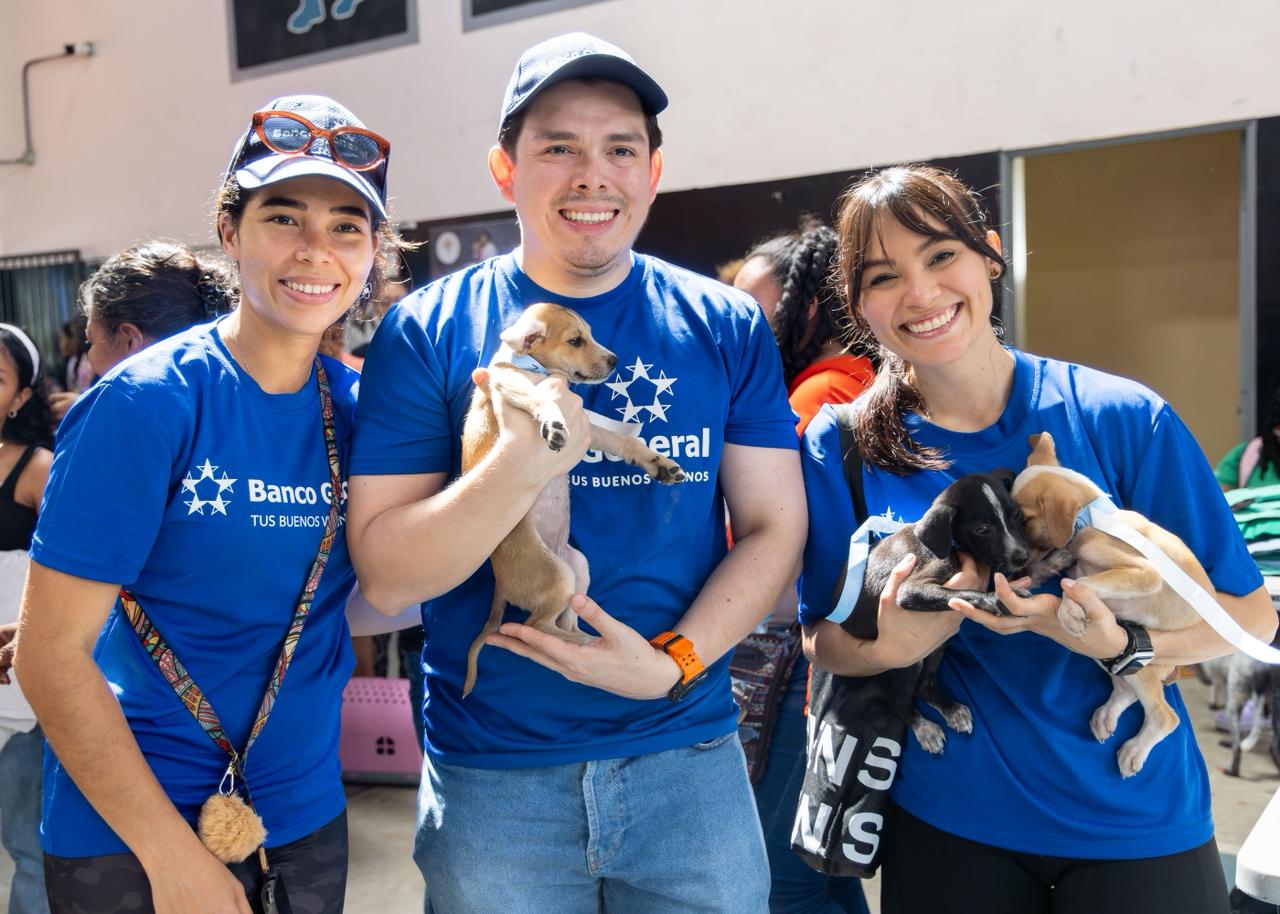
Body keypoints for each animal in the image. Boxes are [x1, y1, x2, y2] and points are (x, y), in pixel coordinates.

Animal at [460, 303, 686, 695]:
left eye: (590, 334)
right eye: (575, 341)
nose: (615, 360)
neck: (531, 367)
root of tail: (501, 586)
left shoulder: (589, 428)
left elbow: (621, 440)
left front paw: (657, 463)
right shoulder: (508, 386)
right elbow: (541, 397)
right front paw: (551, 421)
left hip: (577, 565)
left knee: (565, 621)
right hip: (557, 576)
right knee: (537, 627)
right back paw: (585, 643)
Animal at [839, 471, 1034, 753]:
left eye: (1017, 516)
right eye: (983, 529)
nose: (1023, 557)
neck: (949, 544)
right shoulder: (908, 589)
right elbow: (961, 593)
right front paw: (997, 598)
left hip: (936, 647)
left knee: (924, 687)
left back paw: (951, 709)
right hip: (908, 659)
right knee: (900, 703)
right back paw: (925, 728)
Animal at [1011, 431, 1211, 776]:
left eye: (1024, 520)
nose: (1018, 567)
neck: (1093, 518)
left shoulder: (1146, 573)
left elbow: (1079, 586)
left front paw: (1067, 610)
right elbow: (1072, 579)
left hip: (1142, 661)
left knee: (1163, 716)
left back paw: (1134, 751)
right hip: (1112, 650)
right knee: (1125, 688)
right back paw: (1106, 715)